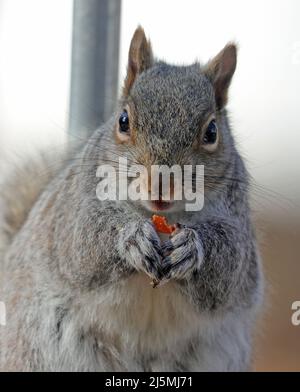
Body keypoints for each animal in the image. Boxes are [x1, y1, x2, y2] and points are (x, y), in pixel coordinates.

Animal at [0, 26, 262, 370]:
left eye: (212, 132)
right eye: (123, 121)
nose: (161, 184)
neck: (162, 217)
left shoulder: (237, 224)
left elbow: (230, 266)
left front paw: (191, 246)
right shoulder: (74, 207)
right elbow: (82, 240)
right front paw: (132, 237)